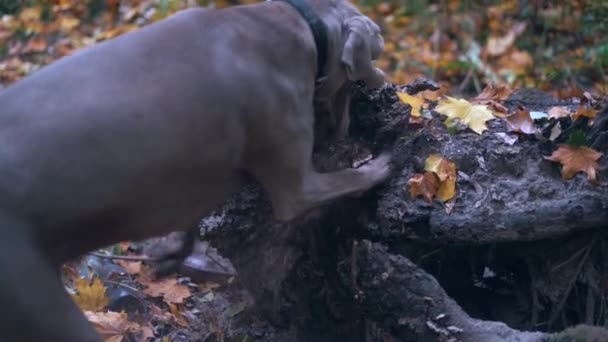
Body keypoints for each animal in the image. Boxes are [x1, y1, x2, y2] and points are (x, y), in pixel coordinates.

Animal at [0, 0, 390, 340]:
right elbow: (344, 178)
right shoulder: (297, 187)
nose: (344, 130)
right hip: (39, 300)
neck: (297, 24)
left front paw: (174, 253)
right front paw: (383, 164)